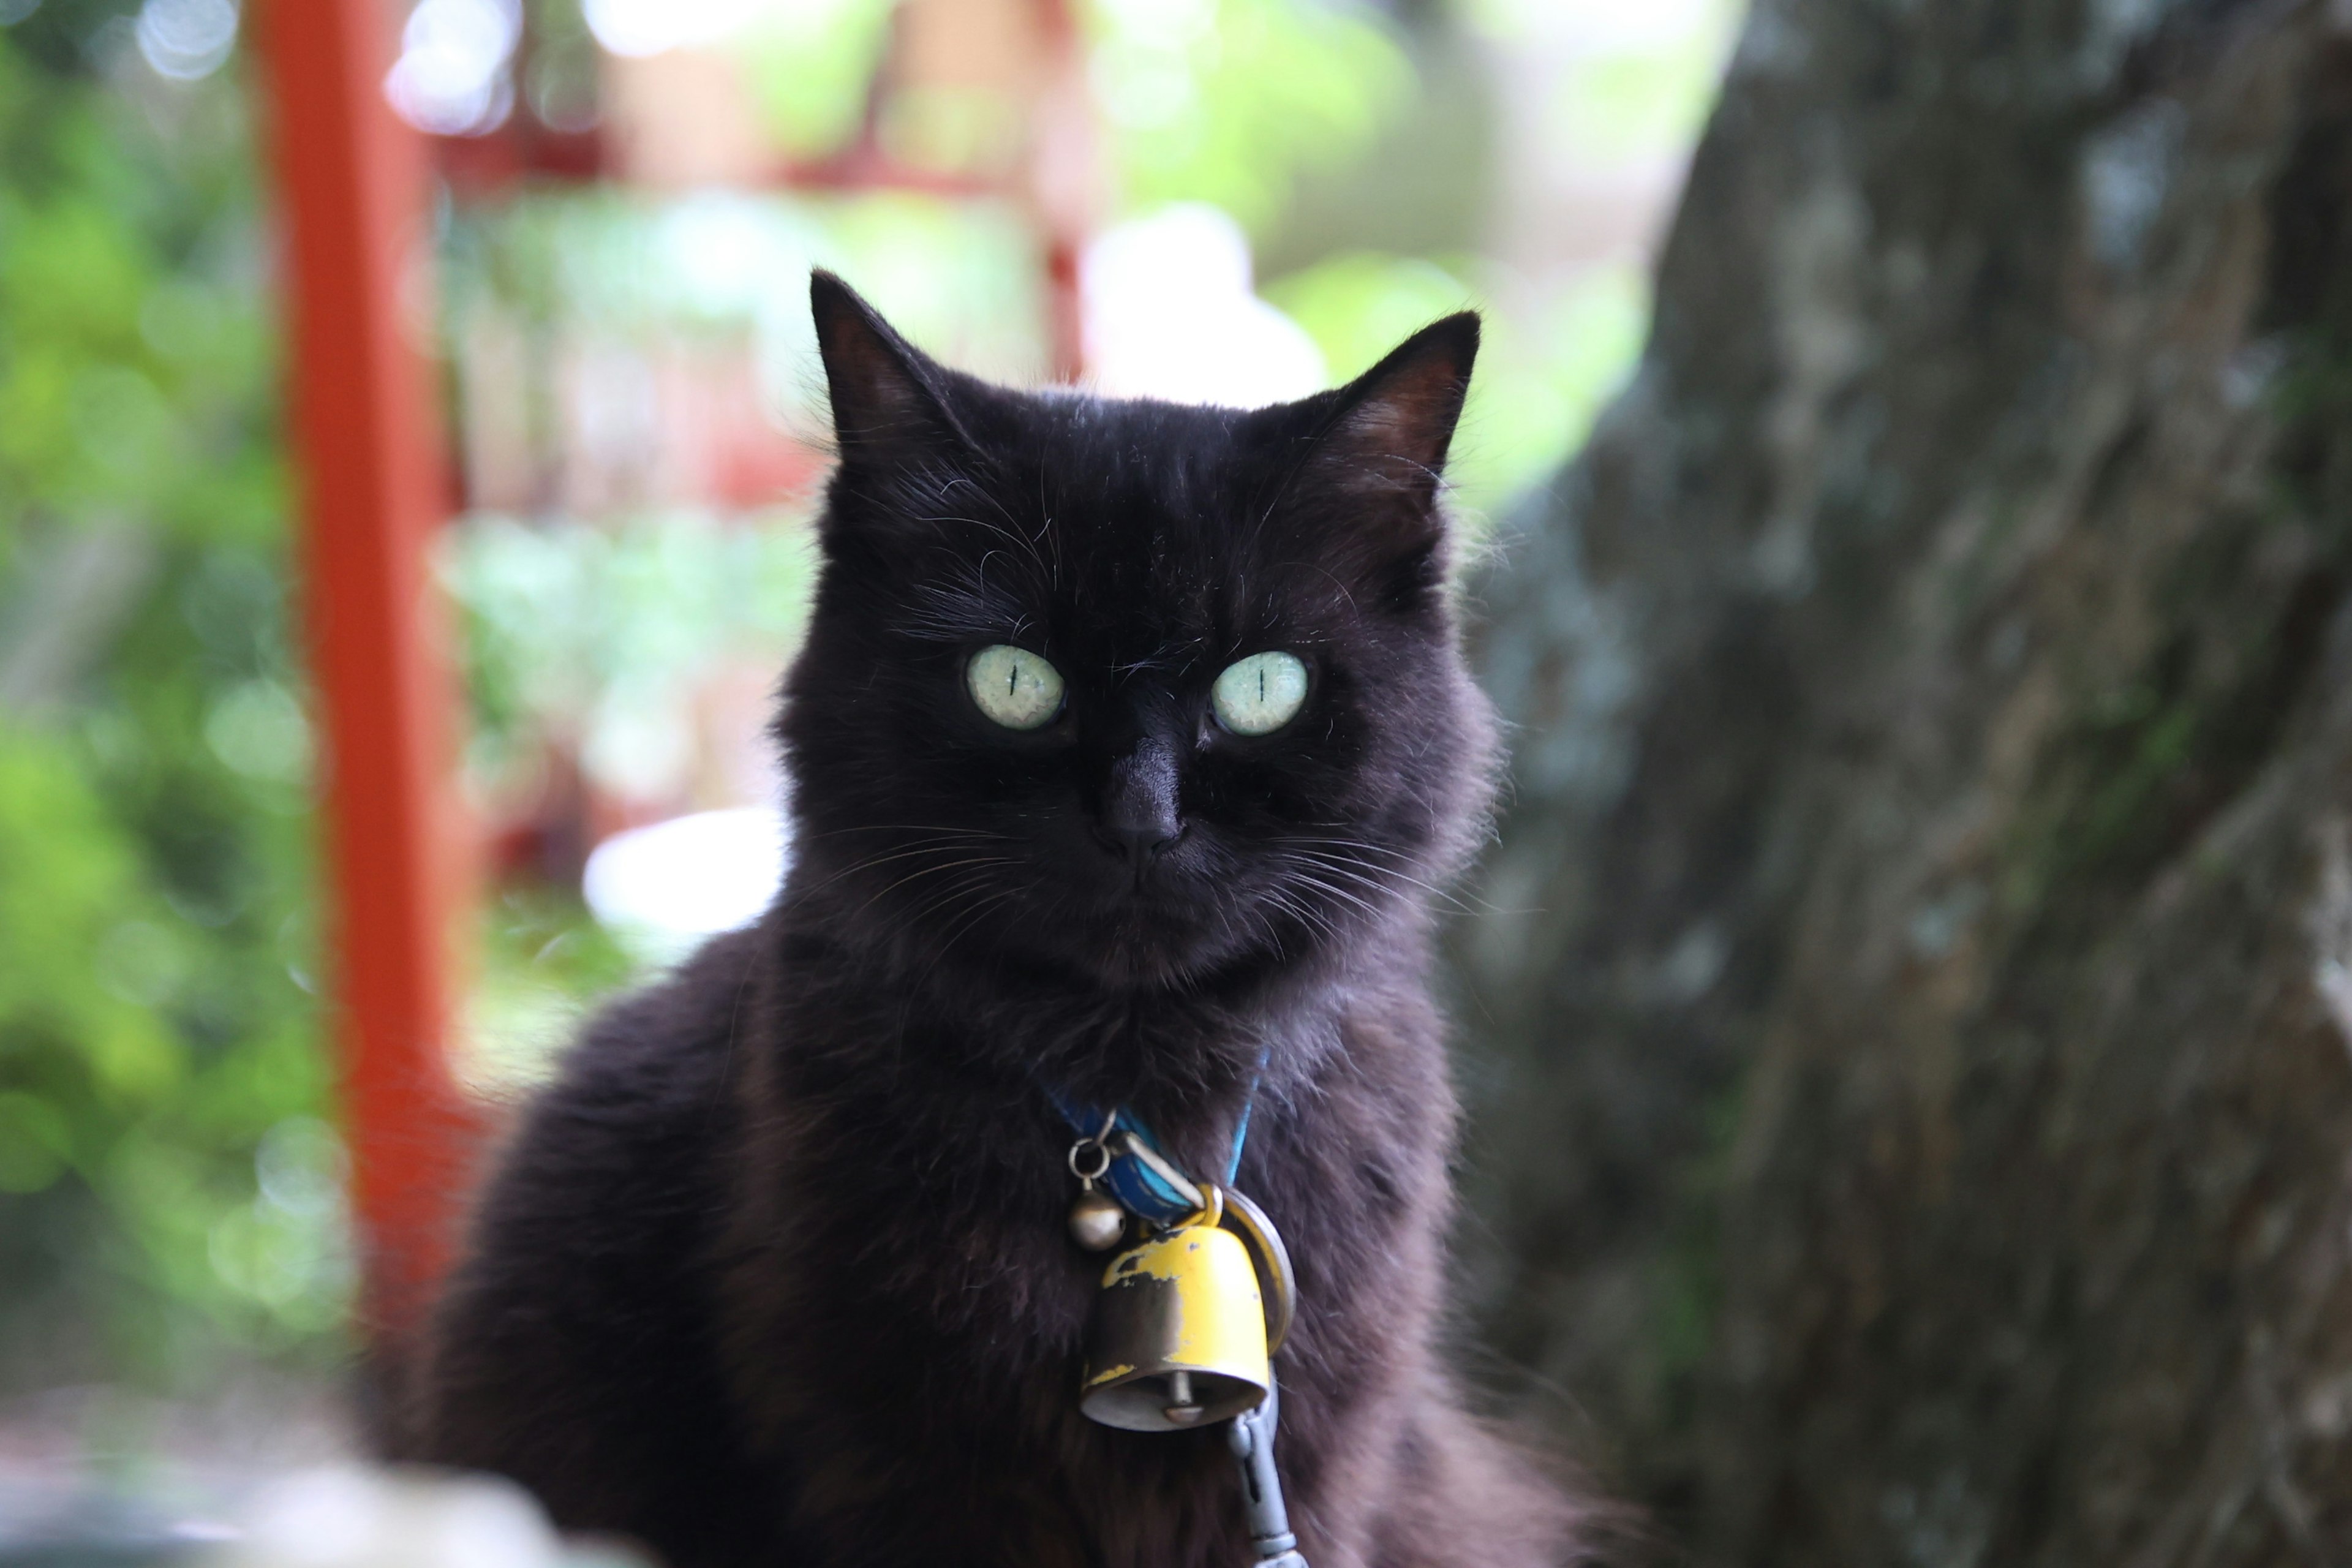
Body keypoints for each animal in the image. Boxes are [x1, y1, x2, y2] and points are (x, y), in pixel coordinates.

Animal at [413, 276, 1608, 1561]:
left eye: (1262, 687)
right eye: (1015, 682)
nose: (1141, 819)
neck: (1140, 1135)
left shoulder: (1319, 1465)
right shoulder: (902, 1471)